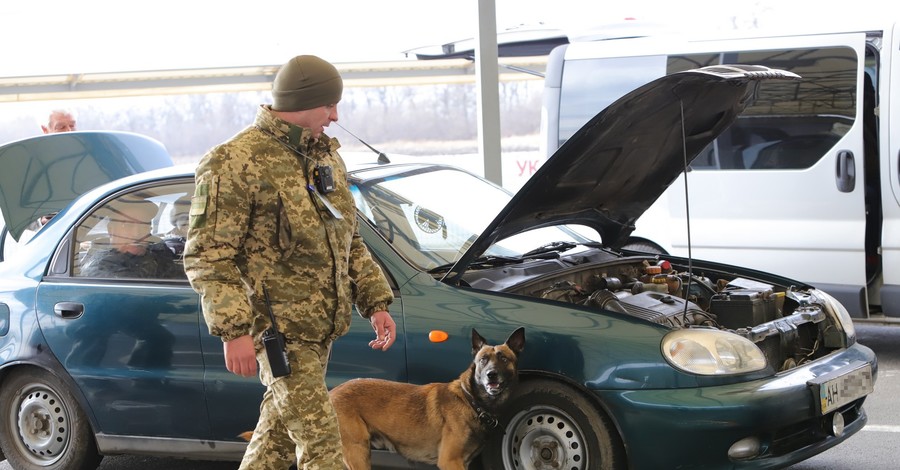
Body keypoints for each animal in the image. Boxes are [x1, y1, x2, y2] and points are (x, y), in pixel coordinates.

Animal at [334, 326, 524, 470]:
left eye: (504, 359)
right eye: (483, 359)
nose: (491, 375)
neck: (471, 400)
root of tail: (333, 391)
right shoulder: (450, 461)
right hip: (358, 452)